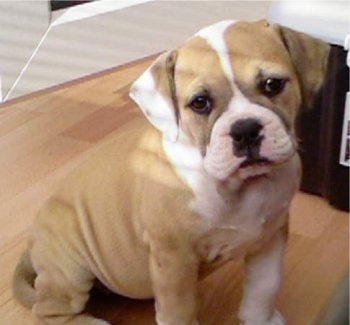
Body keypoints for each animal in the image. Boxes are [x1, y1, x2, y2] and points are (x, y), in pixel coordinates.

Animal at [12, 20, 330, 324]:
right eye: (199, 103)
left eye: (273, 84)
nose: (245, 129)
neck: (239, 187)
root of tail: (32, 246)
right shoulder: (174, 260)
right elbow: (178, 310)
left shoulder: (270, 238)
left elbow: (264, 287)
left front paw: (261, 320)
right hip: (71, 269)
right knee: (48, 310)